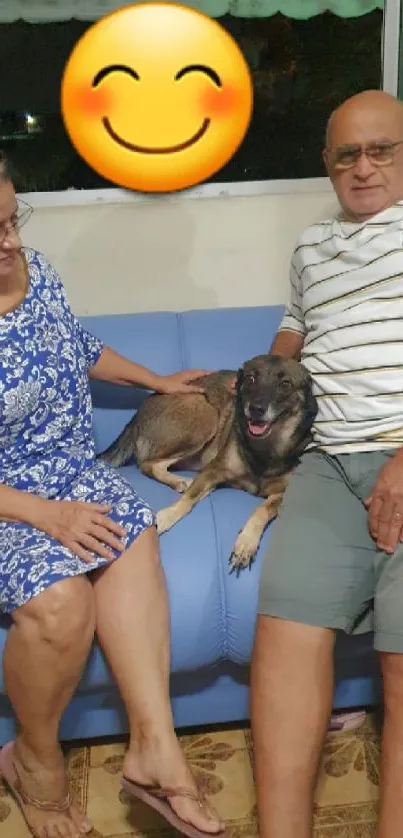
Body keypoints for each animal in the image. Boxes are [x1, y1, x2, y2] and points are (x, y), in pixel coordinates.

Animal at [99, 354, 318, 572]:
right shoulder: (213, 470)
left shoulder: (282, 493)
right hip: (206, 413)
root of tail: (137, 415)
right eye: (251, 378)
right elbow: (187, 500)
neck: (265, 448)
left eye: (285, 383)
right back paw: (179, 481)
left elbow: (262, 510)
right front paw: (164, 517)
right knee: (148, 463)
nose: (256, 409)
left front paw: (246, 543)